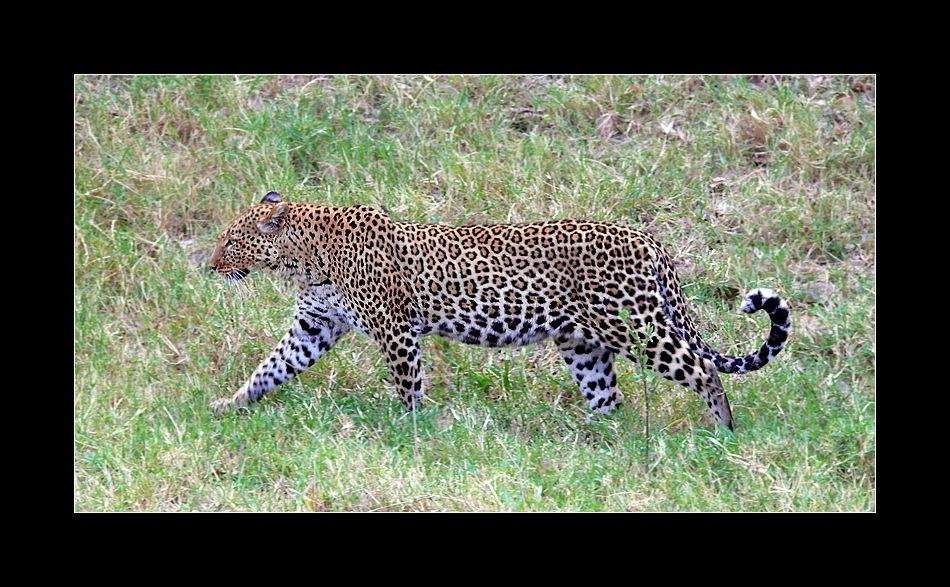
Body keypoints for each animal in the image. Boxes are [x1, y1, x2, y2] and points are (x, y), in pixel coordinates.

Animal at [210, 193, 796, 432]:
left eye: (232, 241)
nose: (211, 265)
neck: (303, 258)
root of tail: (649, 240)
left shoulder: (397, 330)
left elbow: (408, 385)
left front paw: (414, 431)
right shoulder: (315, 325)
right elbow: (271, 368)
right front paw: (227, 406)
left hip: (638, 328)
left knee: (703, 372)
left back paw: (723, 433)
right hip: (582, 343)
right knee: (608, 398)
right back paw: (591, 444)